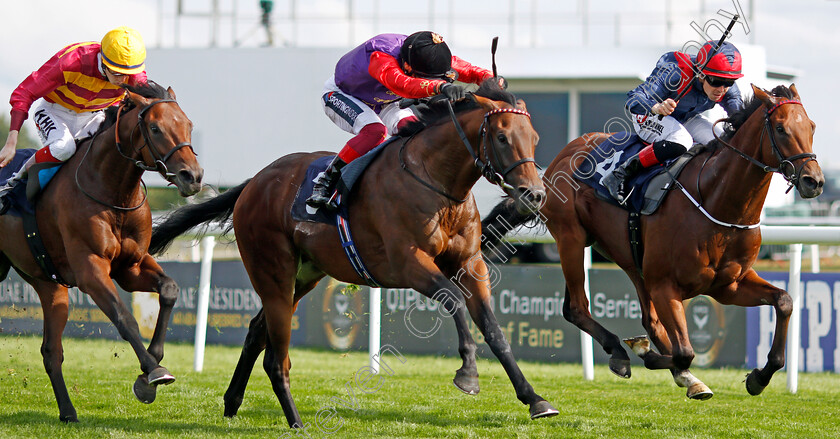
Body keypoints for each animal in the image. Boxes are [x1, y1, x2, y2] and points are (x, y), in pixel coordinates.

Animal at [0, 82, 203, 422]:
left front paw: (151, 364)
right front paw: (152, 371)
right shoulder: (90, 269)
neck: (112, 191)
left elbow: (170, 289)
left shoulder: (131, 266)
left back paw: (68, 411)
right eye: (155, 128)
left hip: (48, 283)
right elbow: (123, 317)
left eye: (188, 124)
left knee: (51, 350)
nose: (193, 176)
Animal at [151, 81, 556, 428]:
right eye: (502, 137)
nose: (535, 194)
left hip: (303, 277)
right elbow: (454, 299)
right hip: (273, 272)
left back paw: (233, 402)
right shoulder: (408, 263)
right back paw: (295, 422)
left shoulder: (470, 264)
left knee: (256, 332)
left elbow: (494, 328)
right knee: (276, 356)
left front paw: (535, 399)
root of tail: (255, 182)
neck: (436, 183)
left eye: (534, 138)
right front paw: (468, 374)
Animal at [482, 83, 824, 402]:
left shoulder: (729, 286)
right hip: (571, 238)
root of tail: (558, 160)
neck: (717, 203)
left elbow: (784, 301)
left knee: (644, 319)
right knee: (578, 308)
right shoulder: (666, 286)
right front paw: (649, 356)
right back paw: (622, 353)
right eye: (780, 128)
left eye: (811, 126)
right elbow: (685, 352)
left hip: (630, 258)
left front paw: (759, 377)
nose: (814, 181)